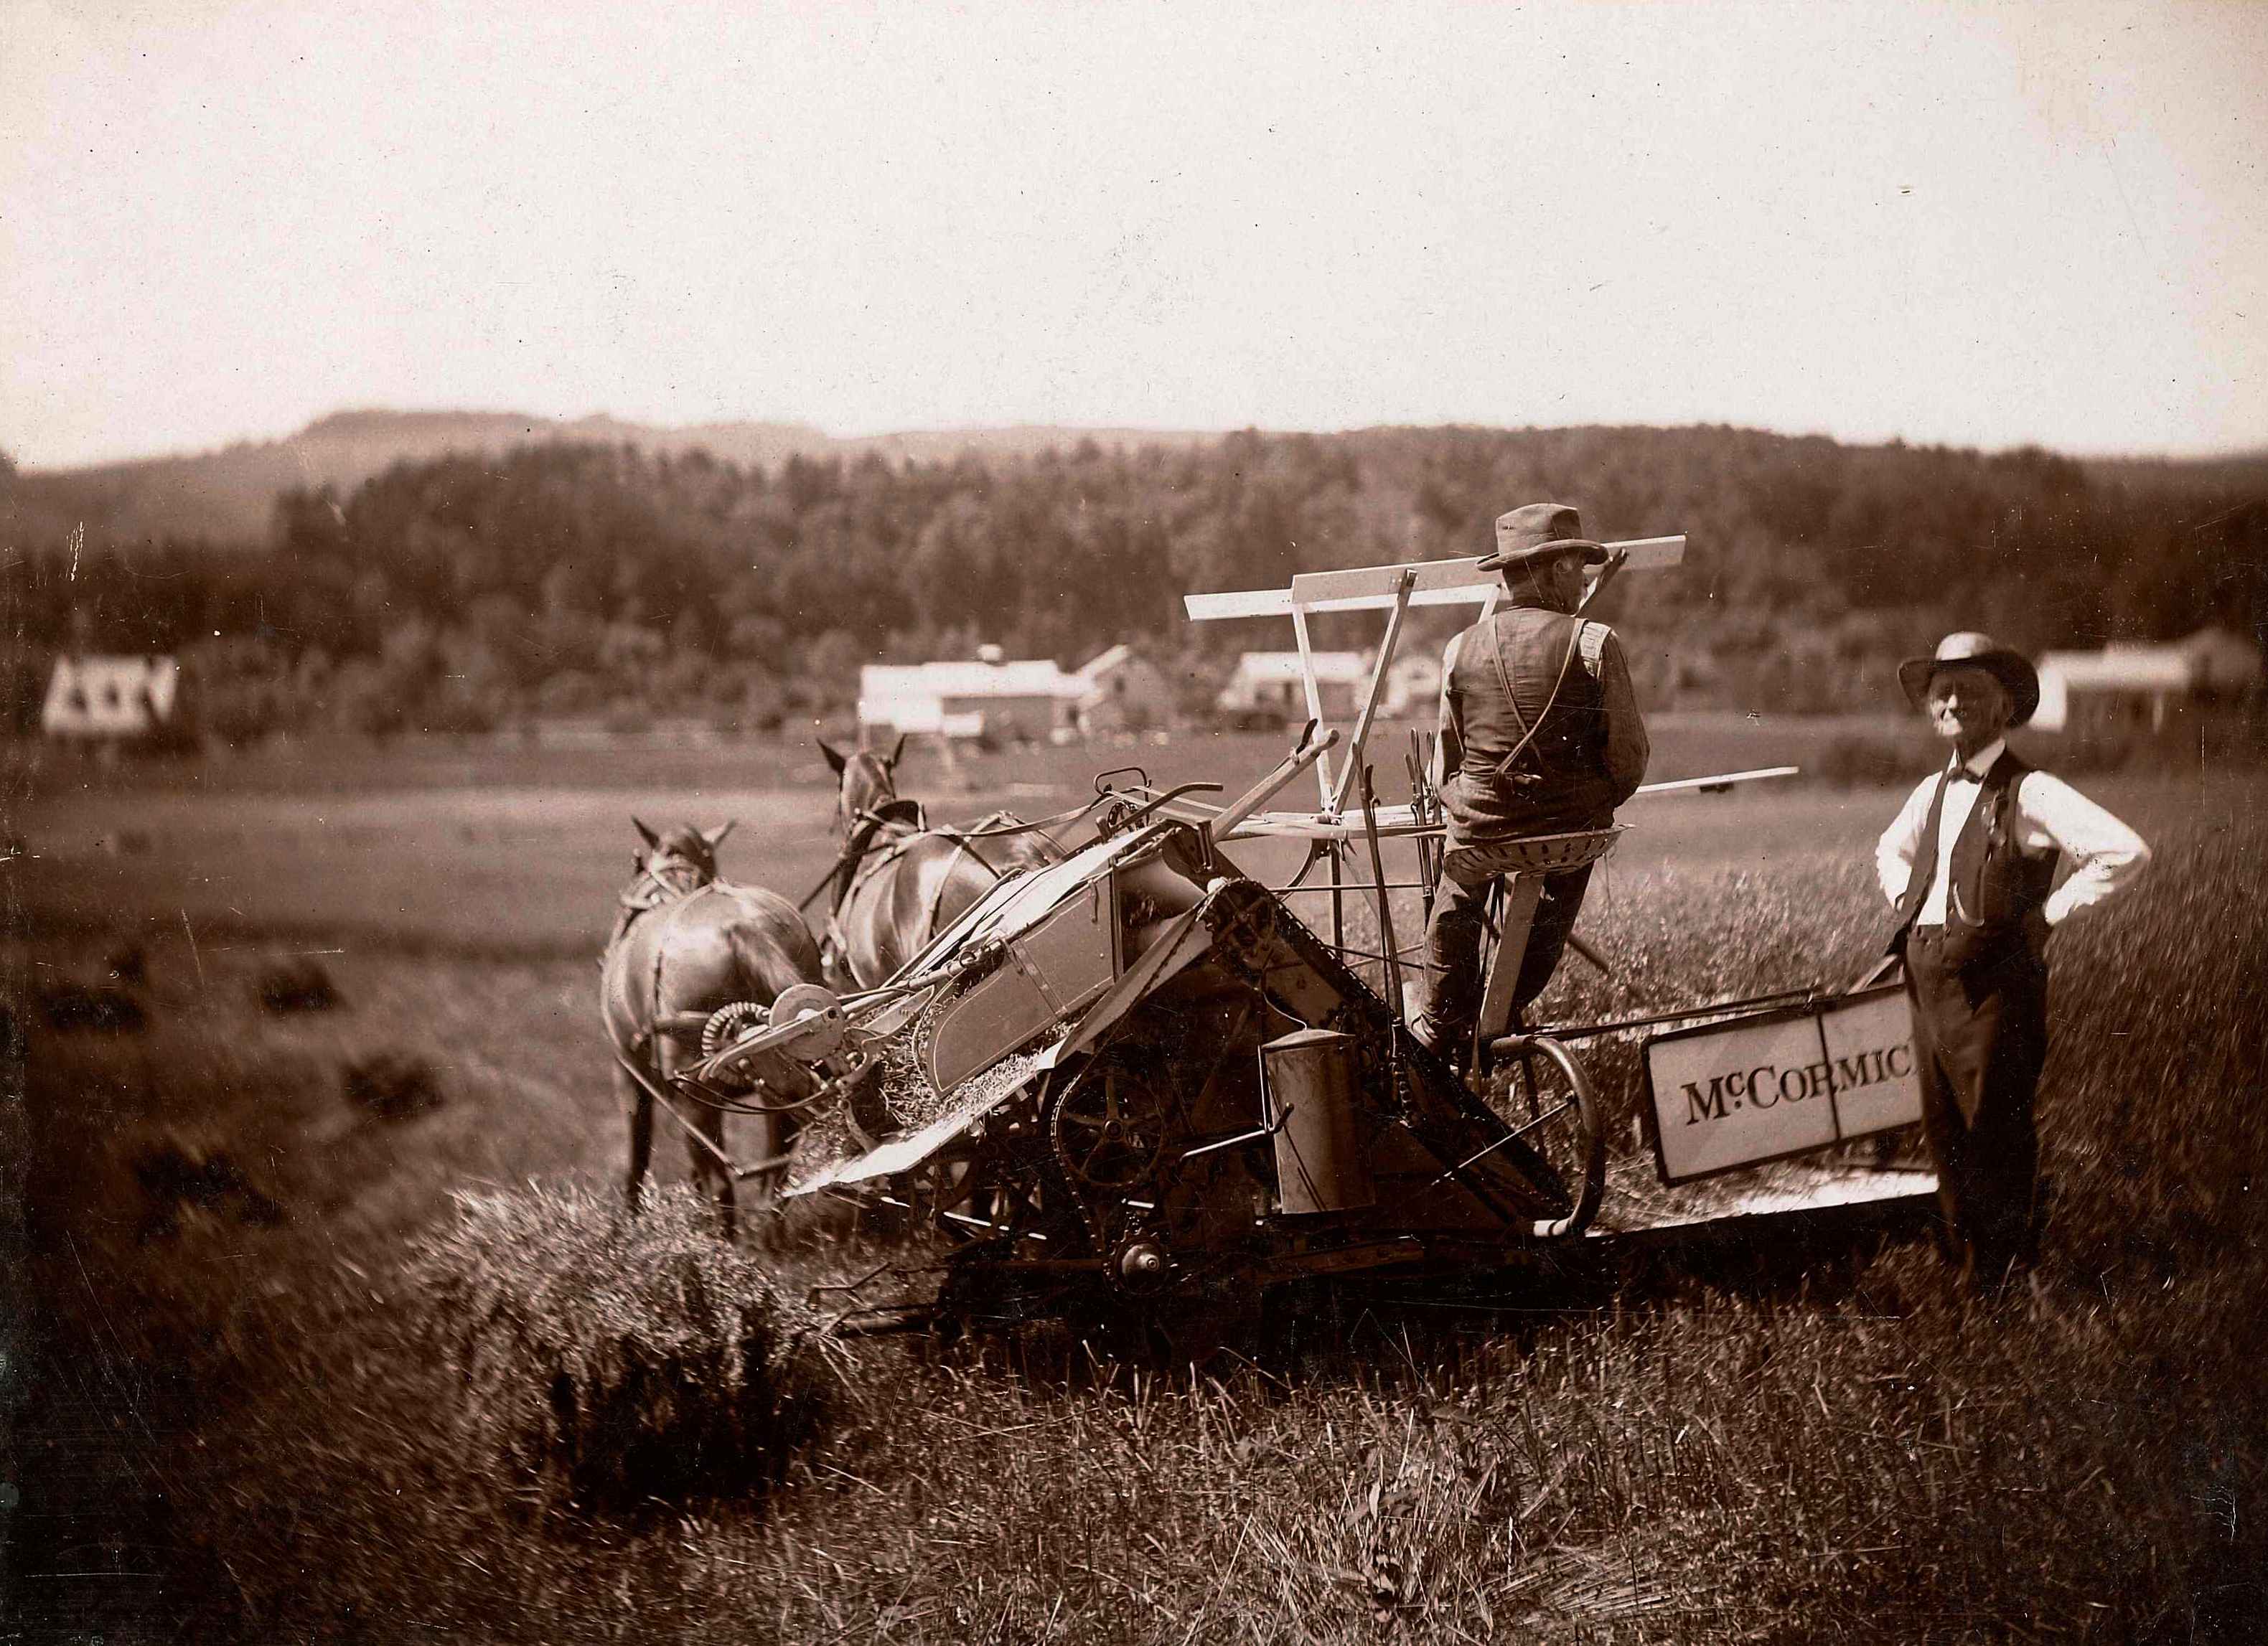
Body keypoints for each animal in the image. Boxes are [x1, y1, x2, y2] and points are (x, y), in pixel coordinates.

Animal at [594, 820, 825, 1233]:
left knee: (721, 1181)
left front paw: (629, 1222)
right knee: (775, 1169)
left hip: (692, 1089)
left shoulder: (628, 1074)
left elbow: (636, 1152)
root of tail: (742, 925)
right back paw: (766, 1233)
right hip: (778, 1072)